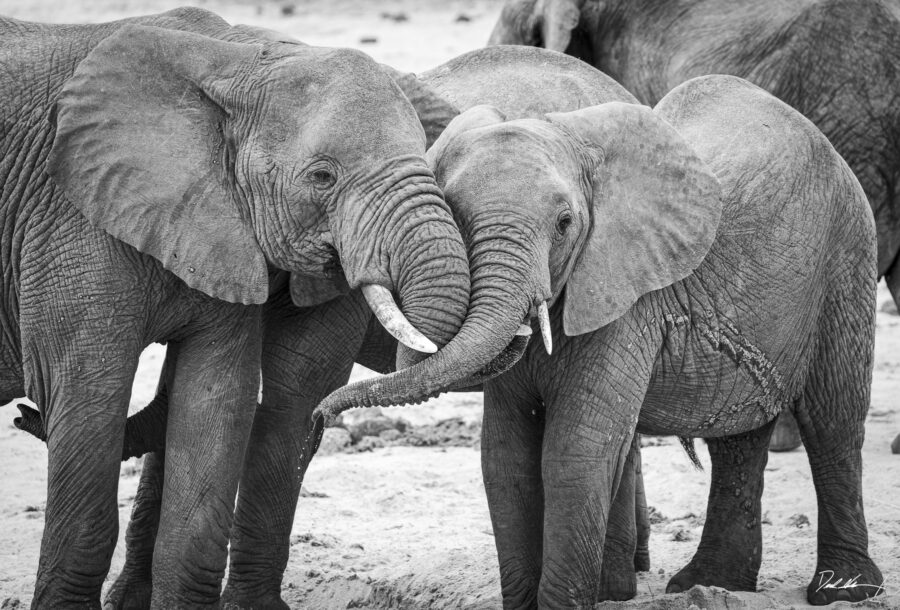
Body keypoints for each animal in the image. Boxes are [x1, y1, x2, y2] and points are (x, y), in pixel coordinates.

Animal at [0, 7, 486, 604]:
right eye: (322, 176)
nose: (25, 415)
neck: (237, 58)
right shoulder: (69, 220)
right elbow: (88, 389)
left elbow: (219, 394)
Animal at [336, 76, 880, 604]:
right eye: (455, 214)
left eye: (564, 224)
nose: (322, 417)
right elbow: (507, 461)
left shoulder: (624, 297)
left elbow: (574, 455)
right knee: (737, 440)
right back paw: (712, 584)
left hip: (848, 253)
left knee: (834, 419)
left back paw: (842, 590)